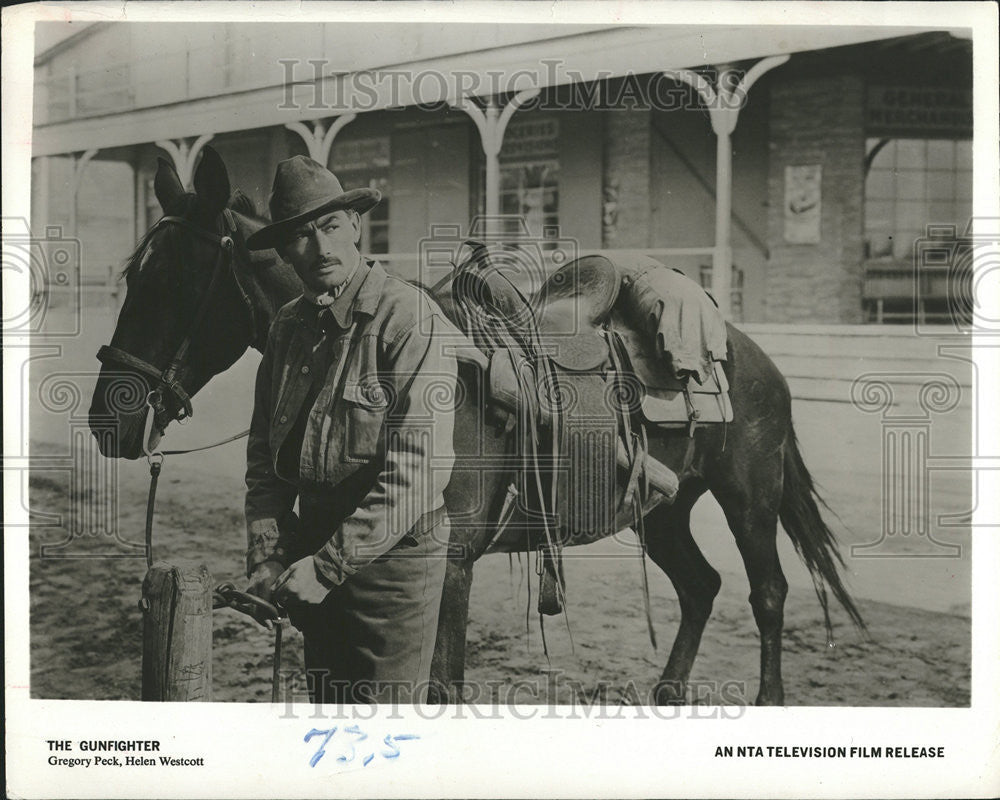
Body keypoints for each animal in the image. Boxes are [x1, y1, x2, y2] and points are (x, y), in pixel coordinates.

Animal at [90, 147, 864, 704]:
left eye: (175, 282)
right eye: (133, 277)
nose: (107, 418)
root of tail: (752, 354)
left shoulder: (452, 567)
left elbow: (439, 688)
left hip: (748, 498)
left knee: (768, 594)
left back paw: (766, 701)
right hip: (661, 508)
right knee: (702, 586)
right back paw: (668, 697)